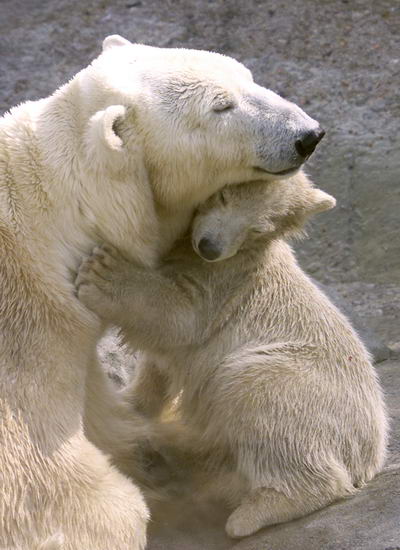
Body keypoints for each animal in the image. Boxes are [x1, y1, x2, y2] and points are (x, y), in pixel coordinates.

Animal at [76, 175, 388, 540]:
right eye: (223, 195)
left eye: (257, 227)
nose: (210, 246)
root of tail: (371, 455)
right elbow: (160, 366)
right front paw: (130, 402)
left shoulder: (223, 279)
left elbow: (180, 316)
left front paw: (103, 273)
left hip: (301, 387)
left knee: (253, 394)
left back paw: (253, 513)